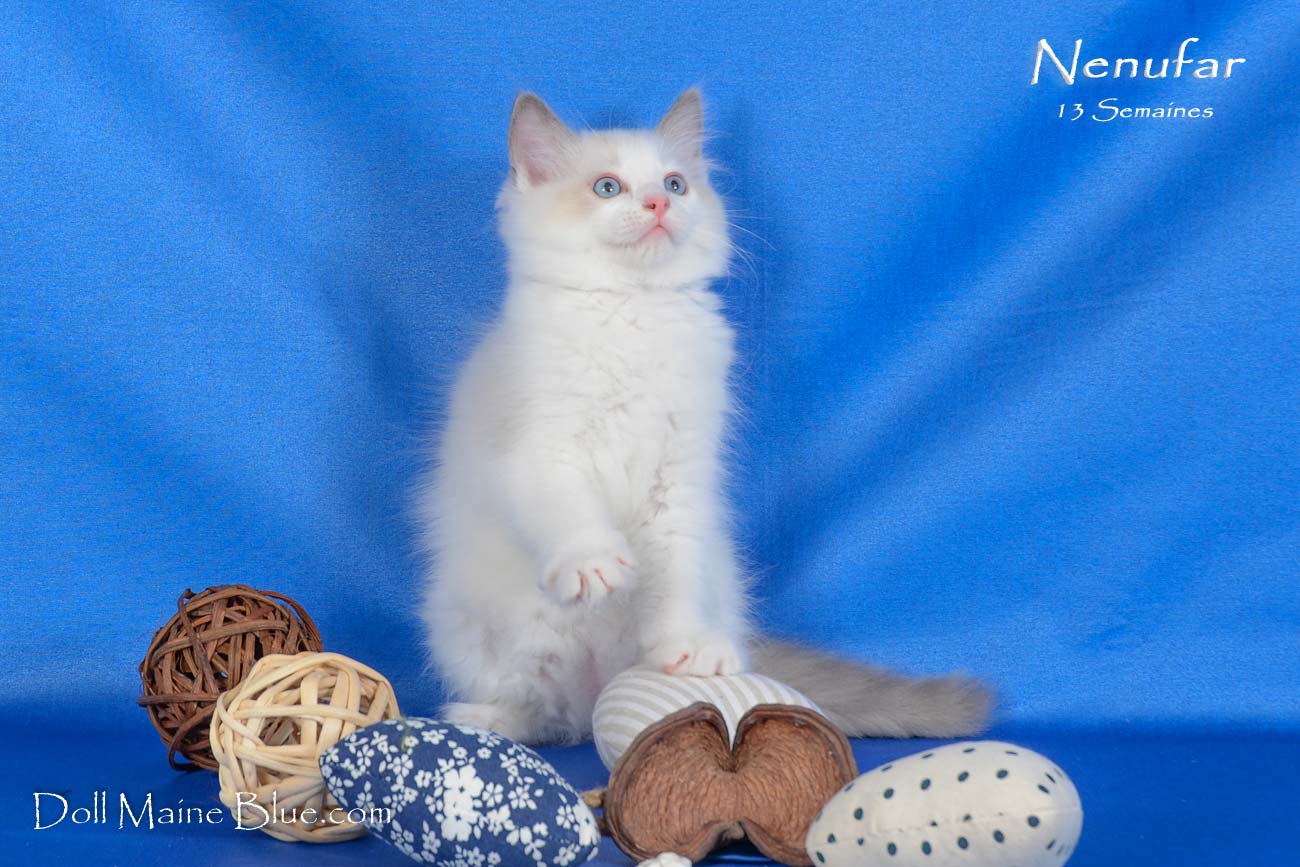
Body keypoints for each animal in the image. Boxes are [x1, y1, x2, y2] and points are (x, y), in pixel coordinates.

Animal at [418, 89, 991, 746]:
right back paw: (487, 719)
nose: (659, 202)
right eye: (608, 187)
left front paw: (687, 644)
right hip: (471, 627)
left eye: (675, 183)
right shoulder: (537, 450)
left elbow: (676, 571)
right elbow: (568, 508)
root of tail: (597, 693)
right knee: (541, 711)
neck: (632, 311)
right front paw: (596, 562)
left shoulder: (681, 477)